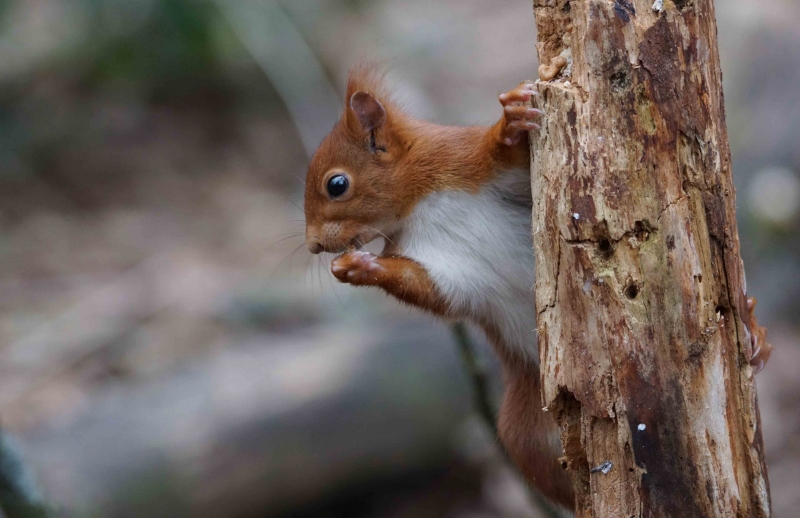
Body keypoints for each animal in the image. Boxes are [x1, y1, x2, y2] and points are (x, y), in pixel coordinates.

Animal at [302, 66, 576, 512]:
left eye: (336, 184)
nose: (312, 246)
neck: (417, 205)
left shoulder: (467, 161)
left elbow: (510, 156)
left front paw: (511, 122)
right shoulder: (442, 265)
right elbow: (432, 291)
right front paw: (359, 268)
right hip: (525, 430)